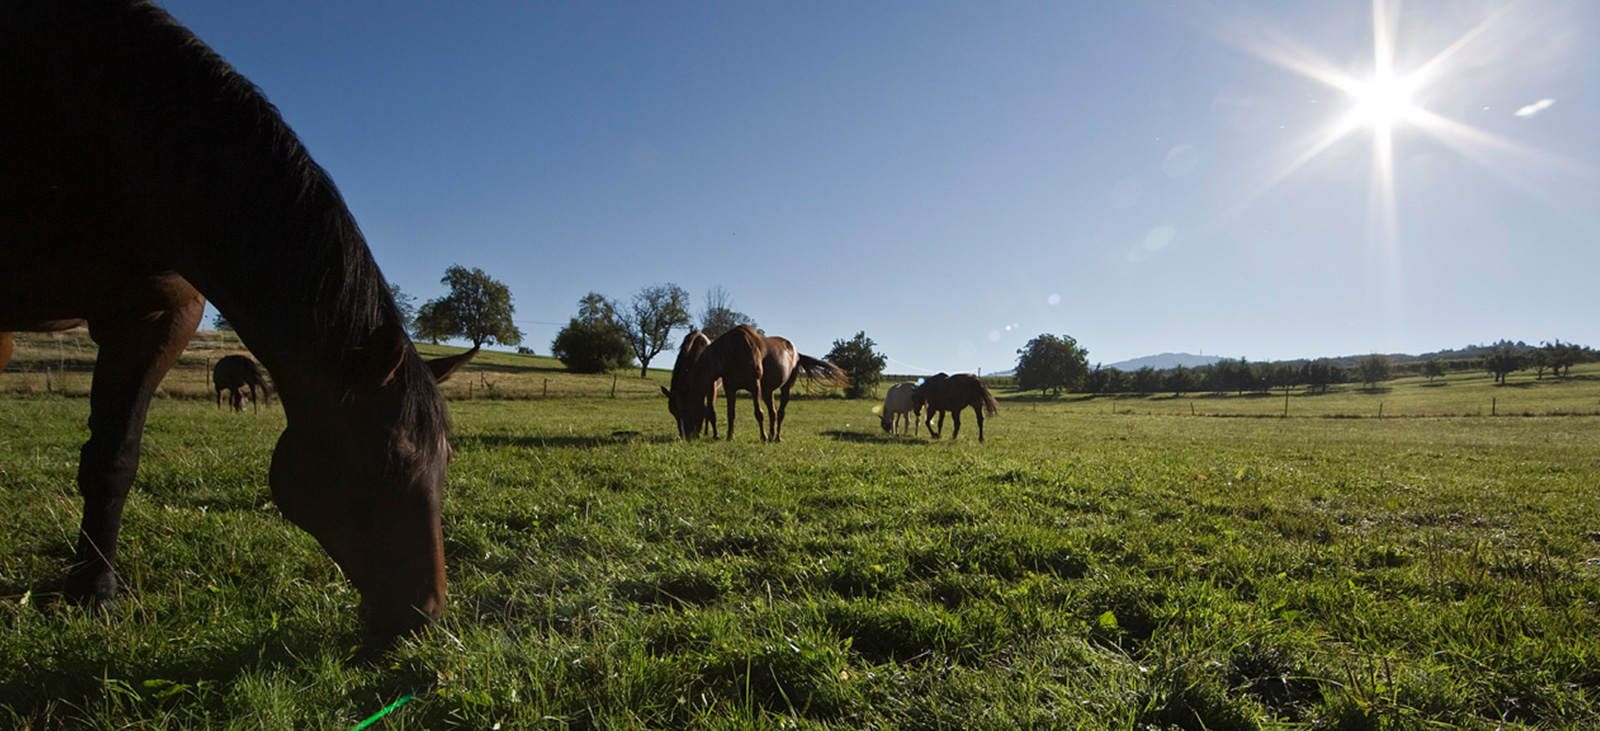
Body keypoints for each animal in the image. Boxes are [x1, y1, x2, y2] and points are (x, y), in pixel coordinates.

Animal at [1, 1, 459, 638]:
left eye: (447, 461)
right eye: (385, 463)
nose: (423, 615)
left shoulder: (159, 315)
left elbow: (113, 460)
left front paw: (96, 591)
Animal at [677, 325, 847, 442]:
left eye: (685, 409)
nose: (687, 436)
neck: (732, 352)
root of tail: (797, 354)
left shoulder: (755, 385)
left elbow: (758, 413)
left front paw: (763, 437)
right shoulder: (730, 388)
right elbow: (731, 414)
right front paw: (730, 437)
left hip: (786, 387)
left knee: (781, 412)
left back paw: (776, 437)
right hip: (767, 391)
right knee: (774, 412)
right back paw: (772, 435)